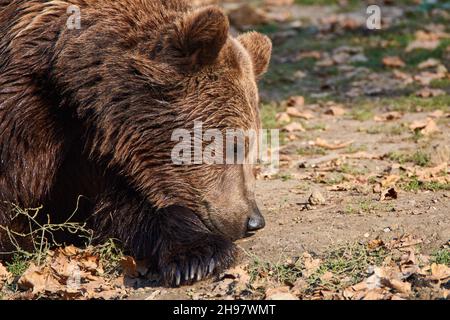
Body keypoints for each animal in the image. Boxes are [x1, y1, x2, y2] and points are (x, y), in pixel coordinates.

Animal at [0, 0, 270, 284]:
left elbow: (123, 208)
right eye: (234, 145)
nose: (253, 221)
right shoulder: (26, 114)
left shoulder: (98, 157)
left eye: (252, 151)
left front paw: (198, 255)